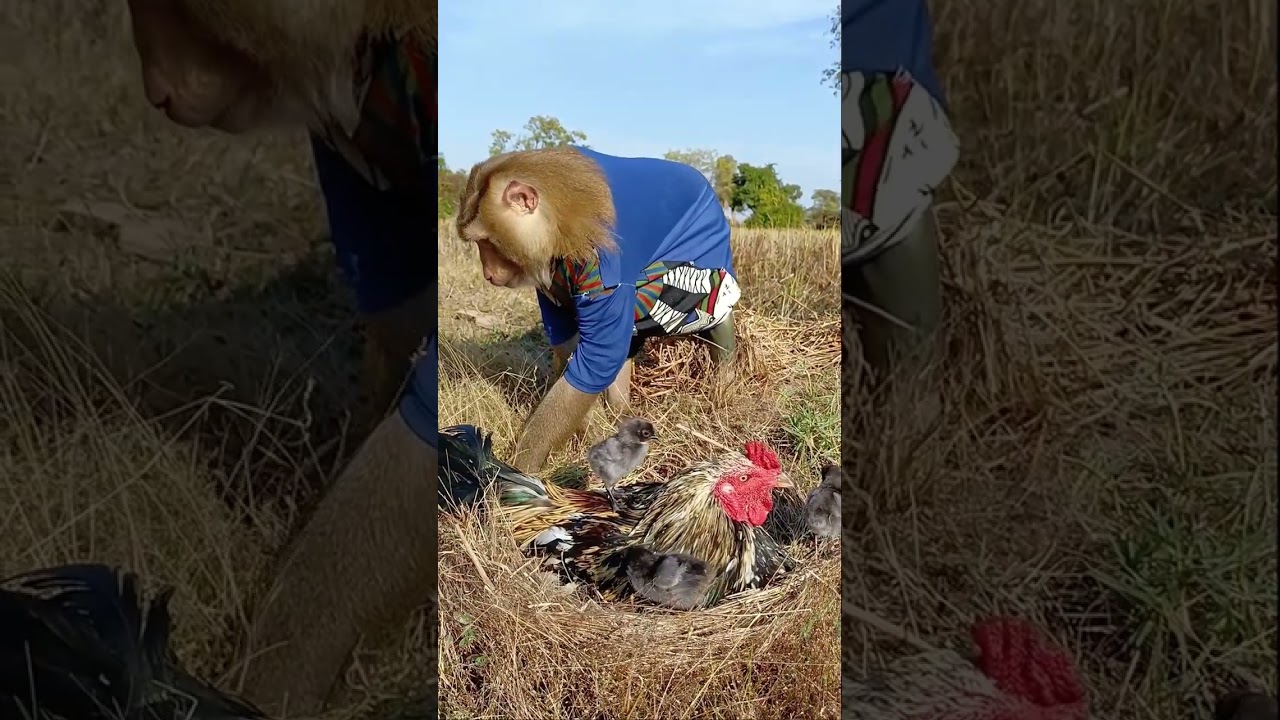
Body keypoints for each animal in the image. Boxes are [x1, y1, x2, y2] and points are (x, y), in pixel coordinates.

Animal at [457, 147, 743, 473]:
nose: (488, 273)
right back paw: (621, 410)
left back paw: (723, 380)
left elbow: (596, 362)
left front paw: (520, 466)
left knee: (702, 308)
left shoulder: (605, 268)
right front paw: (594, 432)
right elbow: (571, 348)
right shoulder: (547, 277)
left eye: (486, 242)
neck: (558, 222)